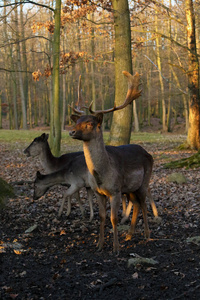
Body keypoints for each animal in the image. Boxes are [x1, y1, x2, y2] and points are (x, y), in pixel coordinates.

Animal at [69, 71, 155, 252]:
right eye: (77, 121)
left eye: (89, 123)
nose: (71, 132)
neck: (101, 174)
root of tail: (148, 153)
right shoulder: (98, 192)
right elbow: (102, 217)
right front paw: (100, 244)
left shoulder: (115, 190)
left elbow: (113, 218)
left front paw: (116, 248)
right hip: (129, 188)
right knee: (136, 204)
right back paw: (129, 234)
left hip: (144, 180)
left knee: (144, 204)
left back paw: (146, 234)